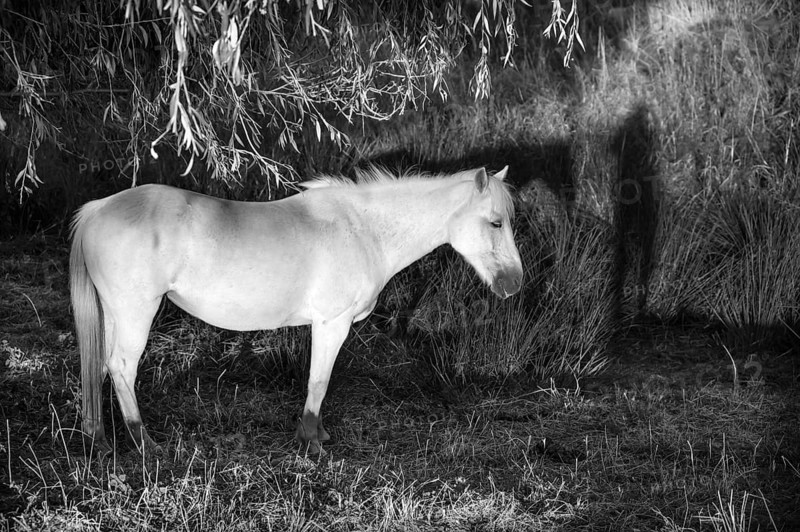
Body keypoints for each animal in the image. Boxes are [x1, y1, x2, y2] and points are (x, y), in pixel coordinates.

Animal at [69, 166, 523, 456]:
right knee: (121, 367)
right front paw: (311, 441)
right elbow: (318, 381)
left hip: (115, 315)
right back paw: (143, 442)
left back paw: (100, 439)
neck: (366, 229)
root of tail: (98, 208)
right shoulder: (332, 324)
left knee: (101, 367)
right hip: (136, 313)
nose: (515, 283)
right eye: (496, 223)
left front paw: (317, 436)